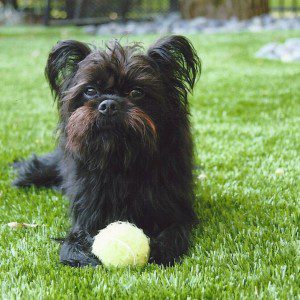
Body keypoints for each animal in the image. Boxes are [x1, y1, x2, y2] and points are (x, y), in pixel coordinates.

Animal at [14, 35, 202, 268]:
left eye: (136, 92)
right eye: (90, 91)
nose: (109, 104)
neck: (119, 160)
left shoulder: (176, 210)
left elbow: (175, 231)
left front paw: (162, 250)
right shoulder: (87, 212)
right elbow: (73, 238)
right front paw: (79, 254)